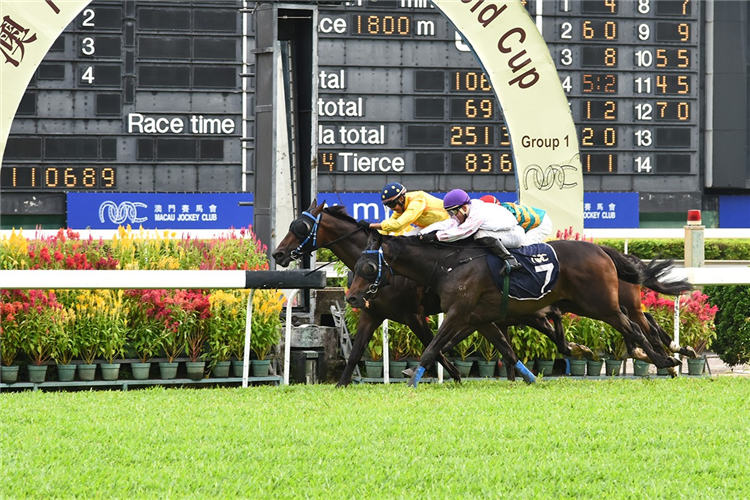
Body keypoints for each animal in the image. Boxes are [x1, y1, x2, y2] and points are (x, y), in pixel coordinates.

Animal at [346, 234, 688, 386]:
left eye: (368, 267)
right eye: (356, 266)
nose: (352, 297)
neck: (447, 264)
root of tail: (601, 248)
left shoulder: (457, 313)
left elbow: (432, 348)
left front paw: (414, 379)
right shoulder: (479, 317)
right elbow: (502, 349)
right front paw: (527, 377)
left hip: (601, 304)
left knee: (634, 328)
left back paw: (666, 359)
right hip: (582, 304)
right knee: (634, 326)